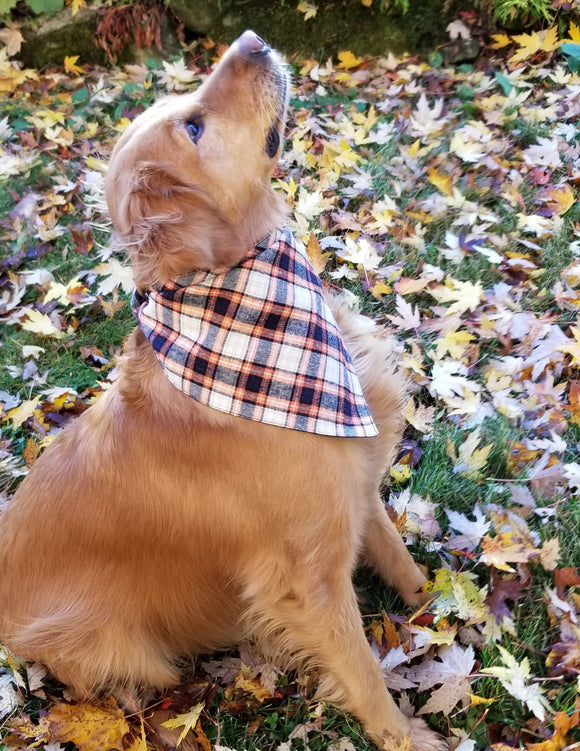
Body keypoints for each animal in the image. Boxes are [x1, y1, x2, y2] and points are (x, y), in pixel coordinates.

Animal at [0, 30, 446, 751]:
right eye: (194, 126)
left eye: (185, 107)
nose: (253, 39)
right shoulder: (306, 578)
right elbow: (359, 665)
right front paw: (404, 735)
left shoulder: (352, 475)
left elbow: (397, 554)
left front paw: (442, 603)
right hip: (115, 644)